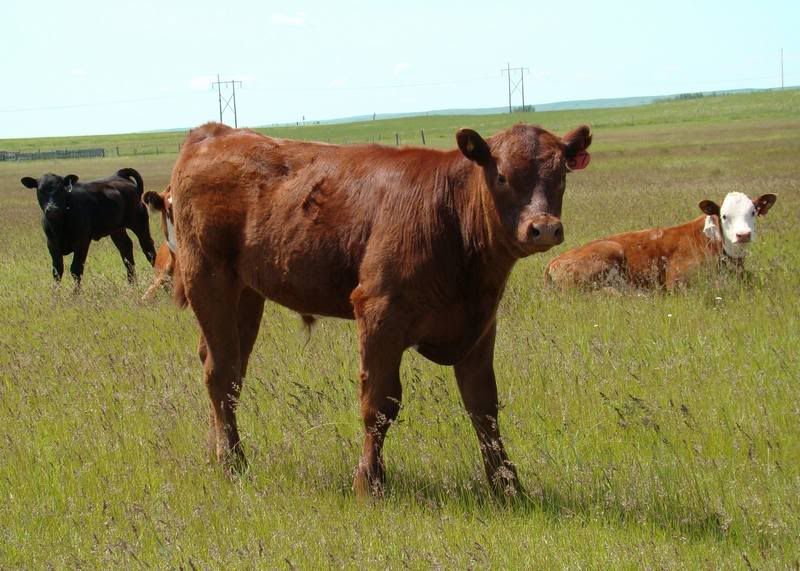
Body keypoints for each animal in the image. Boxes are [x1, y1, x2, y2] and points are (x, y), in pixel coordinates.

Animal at [21, 168, 157, 286]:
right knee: (126, 248)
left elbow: (76, 270)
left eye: (61, 190)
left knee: (148, 249)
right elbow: (57, 271)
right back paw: (132, 284)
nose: (52, 209)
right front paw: (56, 296)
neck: (59, 225)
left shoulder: (82, 242)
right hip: (117, 229)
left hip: (139, 222)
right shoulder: (52, 244)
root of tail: (119, 175)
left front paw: (75, 295)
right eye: (40, 190)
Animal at [169, 121, 592, 497]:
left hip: (246, 295)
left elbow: (484, 407)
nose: (544, 227)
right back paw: (233, 463)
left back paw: (217, 450)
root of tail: (214, 133)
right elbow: (380, 404)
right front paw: (369, 484)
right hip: (207, 279)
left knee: (230, 371)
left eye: (561, 175)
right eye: (502, 176)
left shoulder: (479, 327)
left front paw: (508, 487)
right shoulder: (379, 314)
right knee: (220, 373)